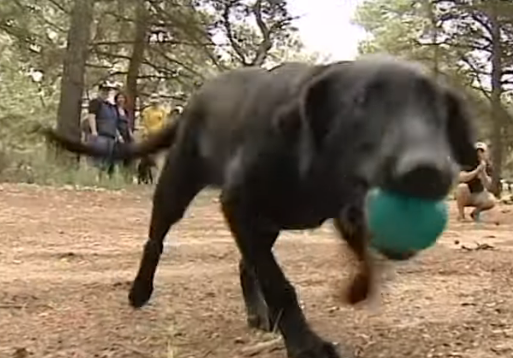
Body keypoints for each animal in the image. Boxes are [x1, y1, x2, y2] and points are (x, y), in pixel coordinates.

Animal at [44, 53, 476, 358]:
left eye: (439, 110)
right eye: (360, 103)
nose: (427, 171)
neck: (313, 167)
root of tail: (196, 100)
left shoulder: (333, 211)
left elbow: (357, 257)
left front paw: (356, 289)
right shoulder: (238, 203)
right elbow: (279, 283)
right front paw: (305, 344)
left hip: (266, 222)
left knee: (244, 262)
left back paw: (257, 312)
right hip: (179, 187)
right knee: (158, 240)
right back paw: (140, 290)